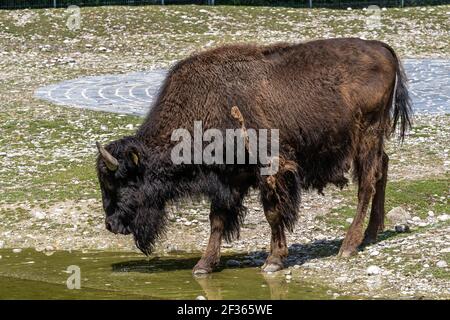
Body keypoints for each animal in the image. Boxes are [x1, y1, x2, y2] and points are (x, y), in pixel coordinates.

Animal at [96, 37, 414, 272]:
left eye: (122, 181)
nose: (111, 225)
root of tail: (383, 49)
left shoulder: (268, 170)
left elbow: (272, 213)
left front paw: (273, 261)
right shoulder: (228, 180)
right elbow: (217, 220)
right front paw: (203, 265)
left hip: (366, 135)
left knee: (367, 182)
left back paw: (348, 245)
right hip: (373, 138)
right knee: (382, 168)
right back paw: (371, 234)